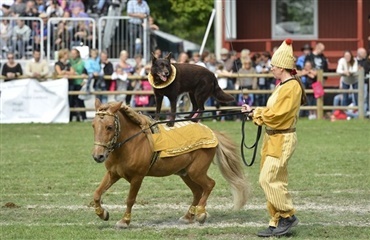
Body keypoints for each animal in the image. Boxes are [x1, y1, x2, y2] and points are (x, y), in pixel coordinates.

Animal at [91, 98, 250, 228]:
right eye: (93, 125)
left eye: (109, 126)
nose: (98, 156)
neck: (131, 142)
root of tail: (211, 132)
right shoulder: (113, 173)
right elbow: (97, 193)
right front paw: (102, 214)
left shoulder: (137, 177)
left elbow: (130, 199)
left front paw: (124, 221)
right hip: (185, 173)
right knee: (198, 191)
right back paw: (188, 216)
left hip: (196, 171)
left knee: (209, 185)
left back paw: (201, 213)